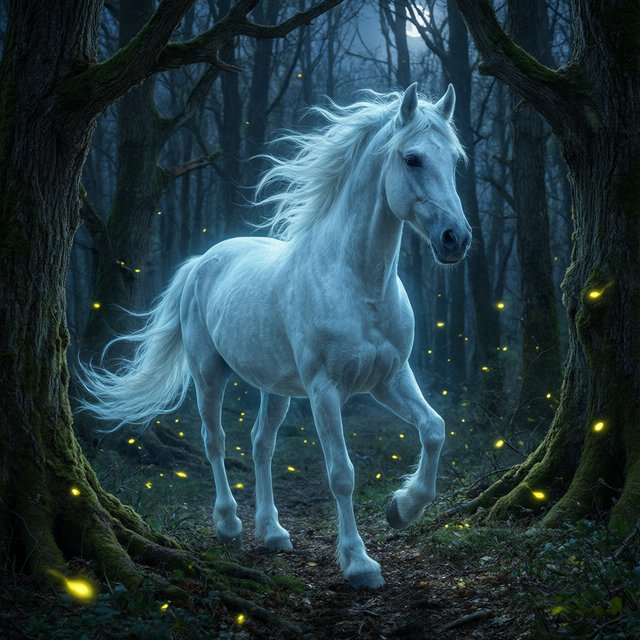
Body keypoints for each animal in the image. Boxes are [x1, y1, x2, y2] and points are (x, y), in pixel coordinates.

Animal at [78, 83, 471, 589]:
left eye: (455, 160)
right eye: (412, 159)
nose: (456, 239)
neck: (359, 285)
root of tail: (202, 261)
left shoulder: (391, 379)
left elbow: (435, 429)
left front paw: (401, 509)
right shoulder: (326, 391)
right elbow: (341, 473)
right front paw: (359, 564)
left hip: (277, 388)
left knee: (260, 444)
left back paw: (273, 532)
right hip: (209, 374)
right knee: (215, 440)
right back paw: (229, 524)